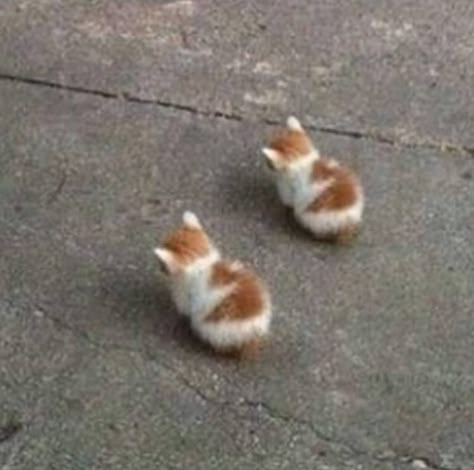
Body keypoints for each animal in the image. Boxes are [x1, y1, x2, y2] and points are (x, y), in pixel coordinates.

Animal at [152, 211, 270, 358]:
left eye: (162, 264)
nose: (160, 269)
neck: (201, 262)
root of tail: (253, 330)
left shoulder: (186, 296)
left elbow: (184, 308)